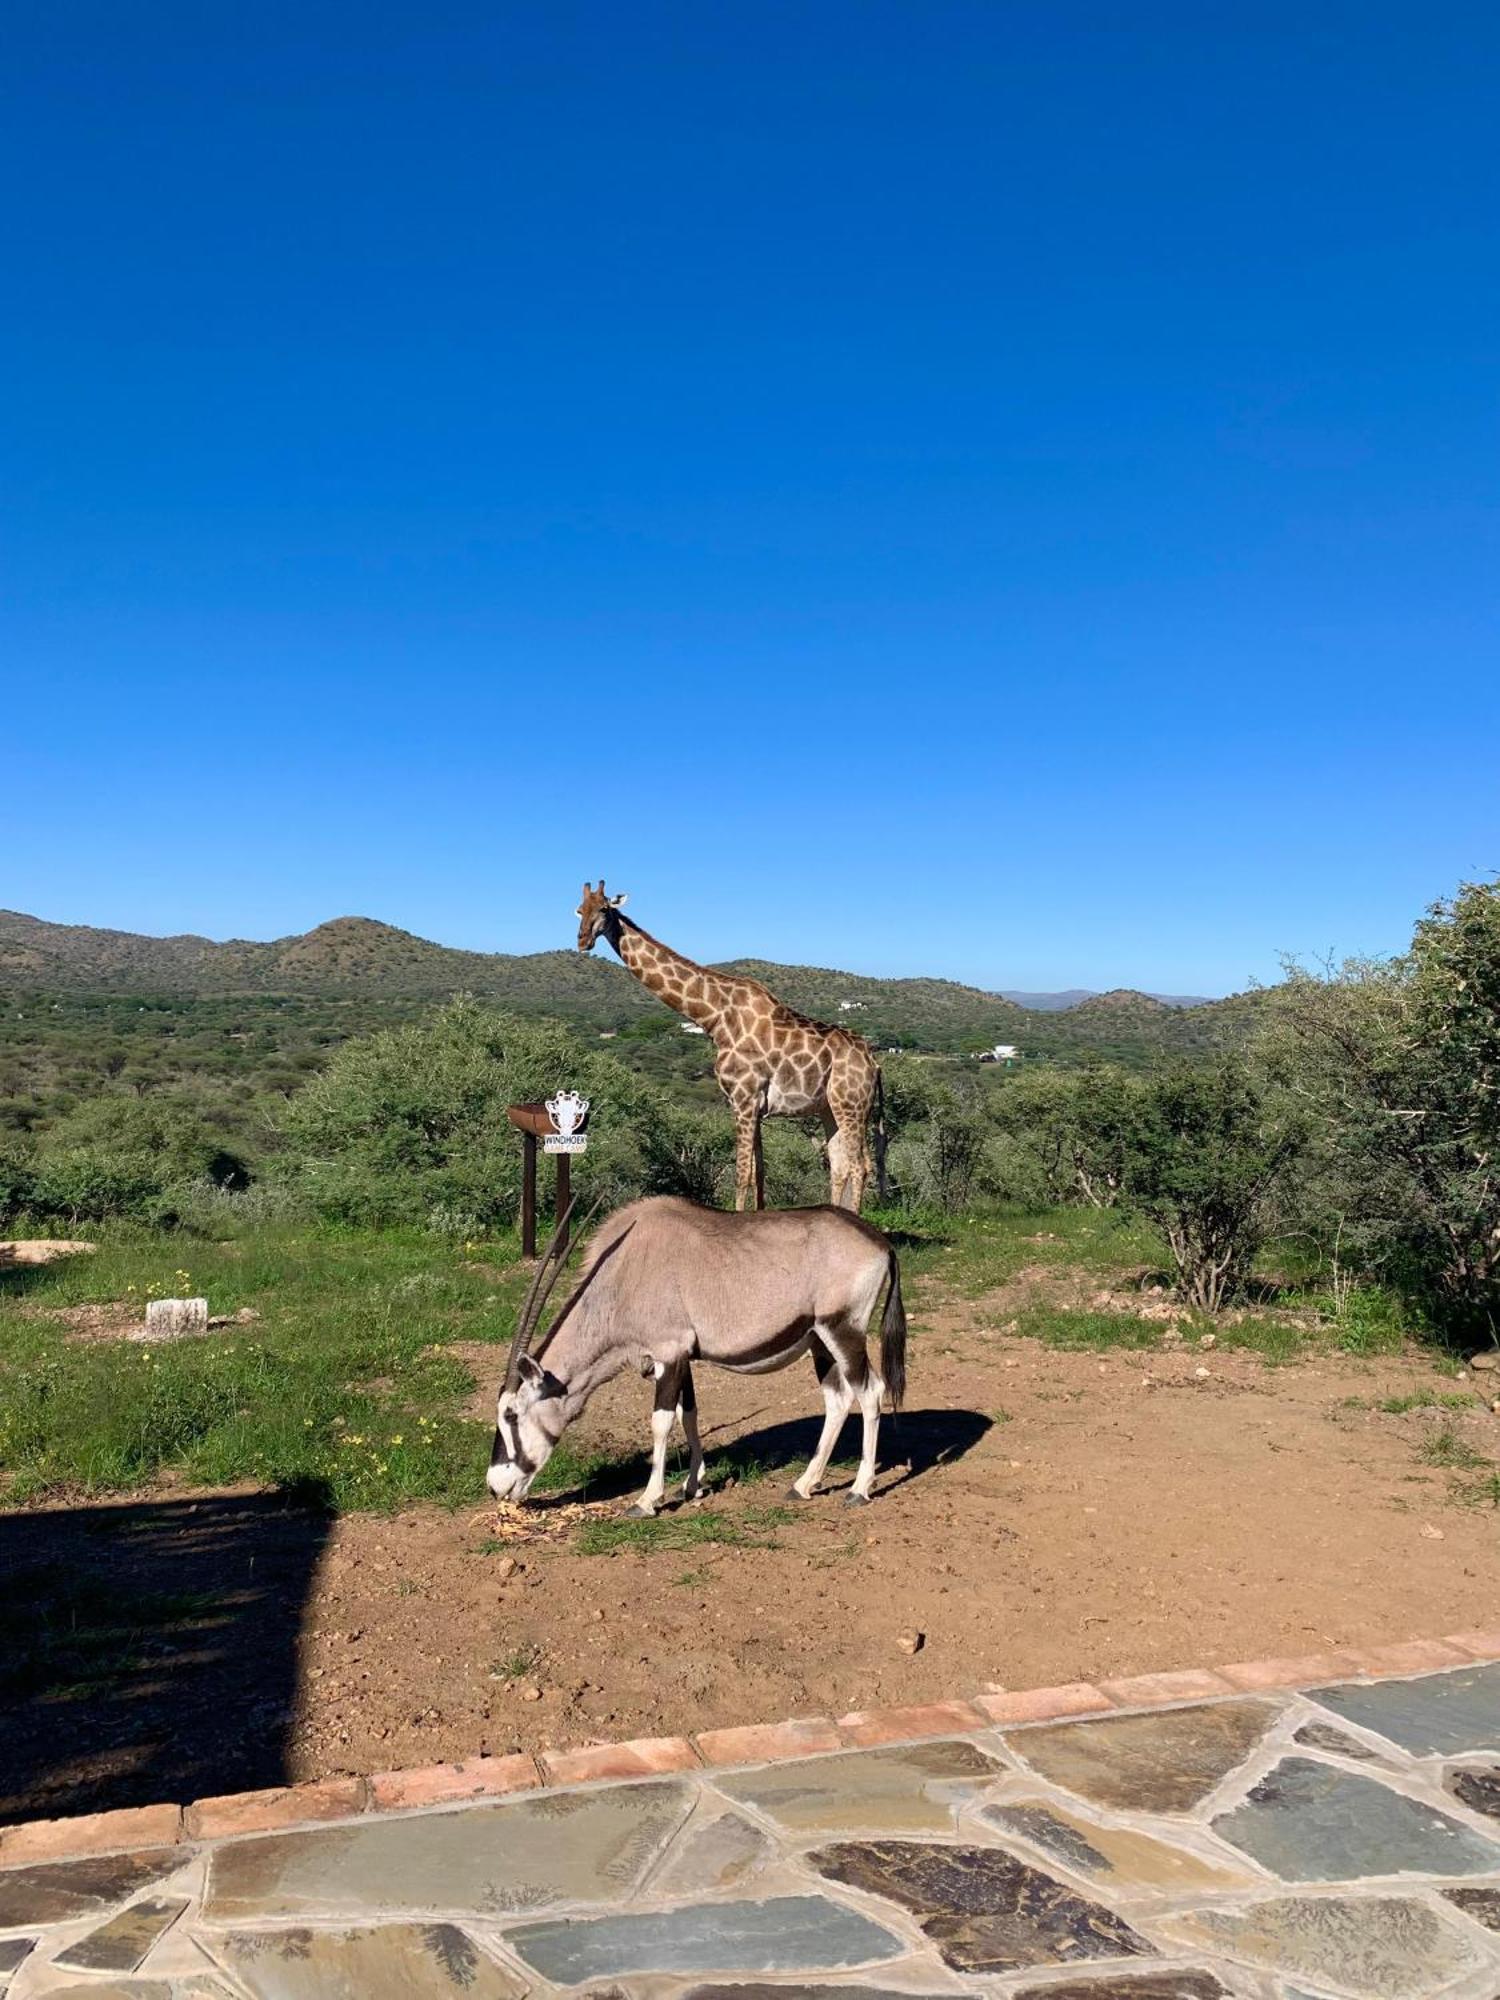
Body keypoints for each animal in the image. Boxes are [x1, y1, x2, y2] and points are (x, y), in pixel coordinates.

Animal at [580, 880, 888, 1216]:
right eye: (579, 910)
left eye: (604, 909)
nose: (582, 941)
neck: (714, 1017)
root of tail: (873, 1062)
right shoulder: (752, 1104)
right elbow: (758, 1172)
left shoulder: (743, 1098)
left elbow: (742, 1174)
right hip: (829, 1107)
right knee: (840, 1165)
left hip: (851, 1104)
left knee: (860, 1166)